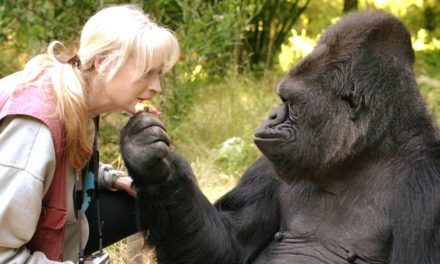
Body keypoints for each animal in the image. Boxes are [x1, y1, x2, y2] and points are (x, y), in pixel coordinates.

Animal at [118, 11, 440, 264]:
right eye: (281, 99)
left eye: (291, 103)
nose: (271, 116)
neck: (363, 155)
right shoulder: (268, 166)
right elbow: (227, 248)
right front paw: (150, 163)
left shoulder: (427, 191)